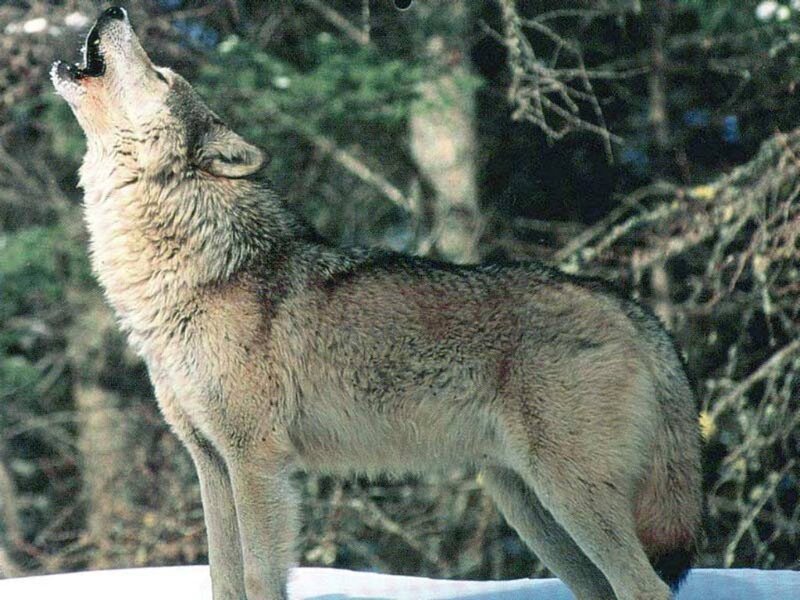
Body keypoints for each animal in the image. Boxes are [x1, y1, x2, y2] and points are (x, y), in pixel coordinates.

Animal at [52, 7, 702, 600]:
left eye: (162, 74)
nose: (114, 10)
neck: (198, 270)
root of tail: (632, 308)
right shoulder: (210, 460)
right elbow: (223, 579)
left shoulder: (256, 459)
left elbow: (260, 577)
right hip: (528, 506)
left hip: (568, 496)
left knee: (646, 588)